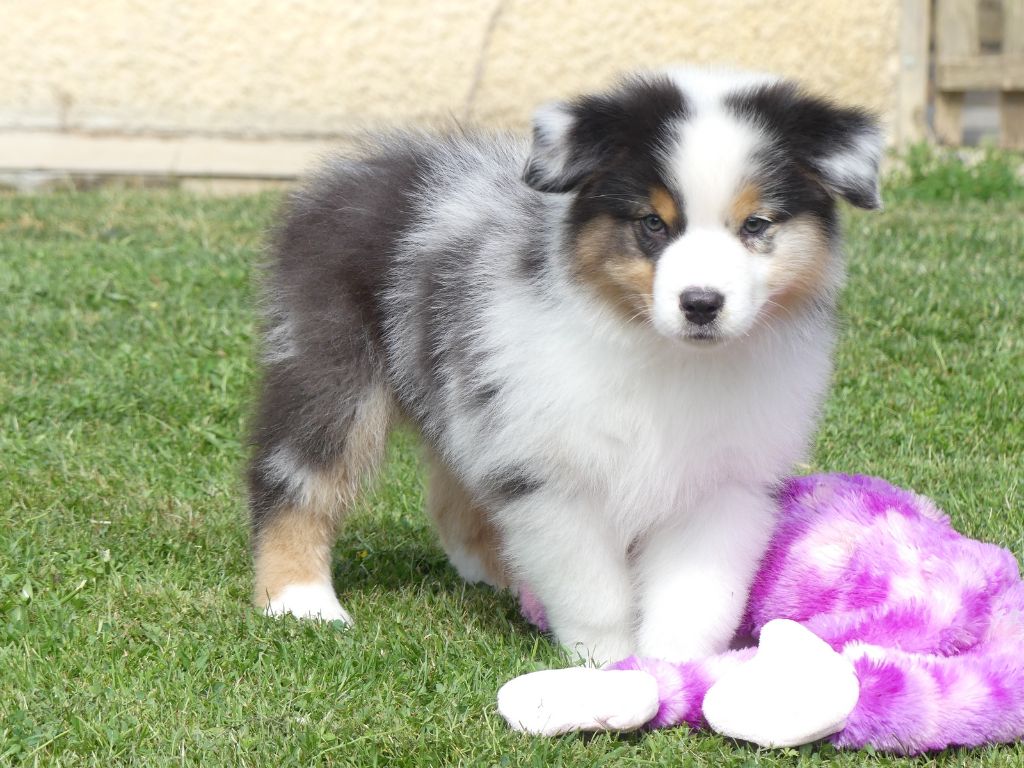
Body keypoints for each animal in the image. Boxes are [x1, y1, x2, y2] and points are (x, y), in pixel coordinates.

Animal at [247, 68, 883, 664]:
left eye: (756, 225)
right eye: (653, 223)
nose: (701, 303)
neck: (666, 356)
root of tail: (351, 172)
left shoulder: (725, 483)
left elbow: (697, 593)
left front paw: (676, 669)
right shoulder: (553, 474)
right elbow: (593, 590)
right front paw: (606, 668)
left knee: (454, 499)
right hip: (330, 361)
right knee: (294, 477)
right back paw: (301, 600)